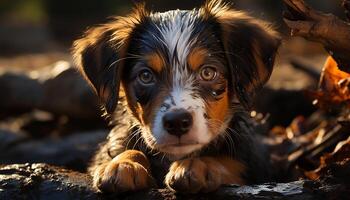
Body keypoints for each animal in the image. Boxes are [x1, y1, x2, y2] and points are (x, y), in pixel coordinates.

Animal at [72, 0, 280, 194]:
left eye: (208, 73)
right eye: (145, 76)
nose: (177, 122)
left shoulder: (252, 164)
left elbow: (227, 163)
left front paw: (199, 164)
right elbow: (128, 150)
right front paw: (122, 164)